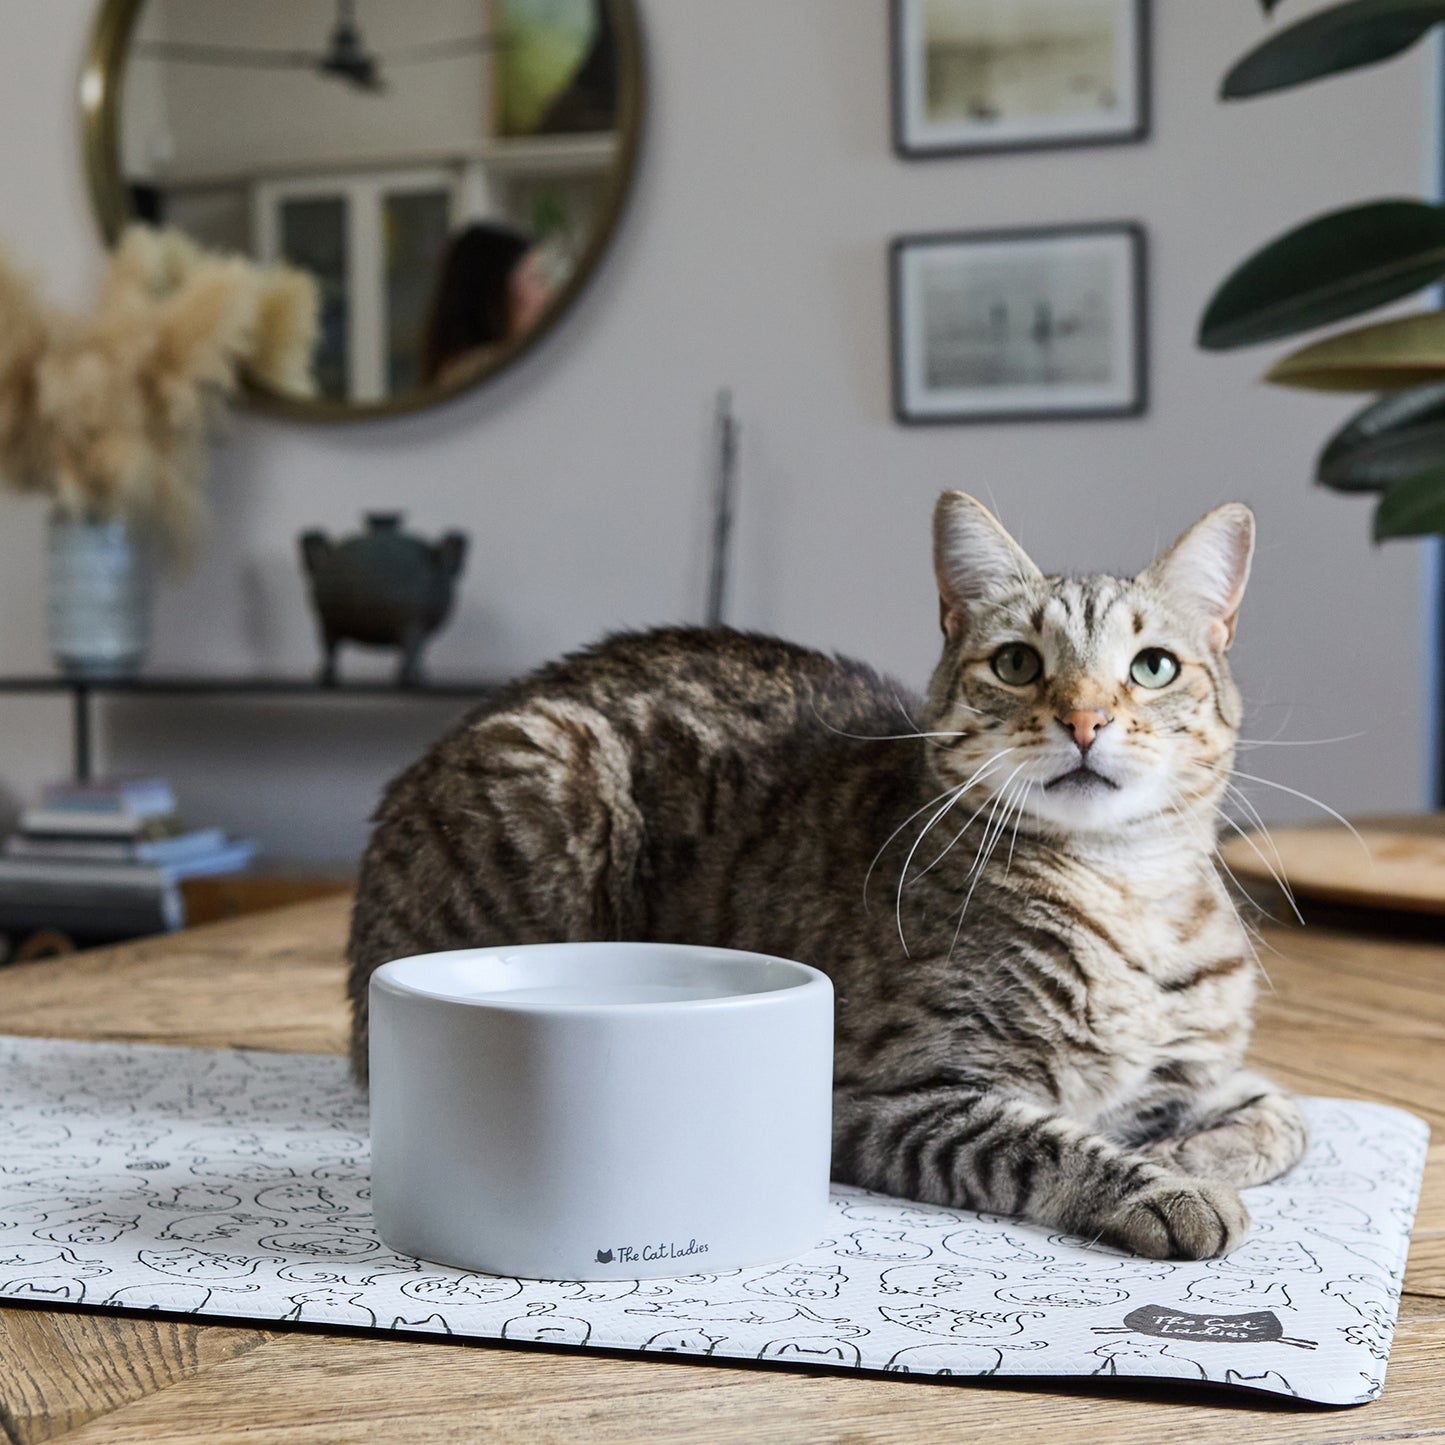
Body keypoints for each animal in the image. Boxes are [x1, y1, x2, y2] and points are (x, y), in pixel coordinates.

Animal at [346, 491, 1312, 1260]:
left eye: (1152, 666)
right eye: (1016, 663)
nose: (1084, 719)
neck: (1124, 889)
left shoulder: (1200, 1070)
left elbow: (1287, 1116)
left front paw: (1187, 1153)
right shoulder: (895, 1094)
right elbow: (1051, 1143)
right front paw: (1169, 1188)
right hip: (549, 762)